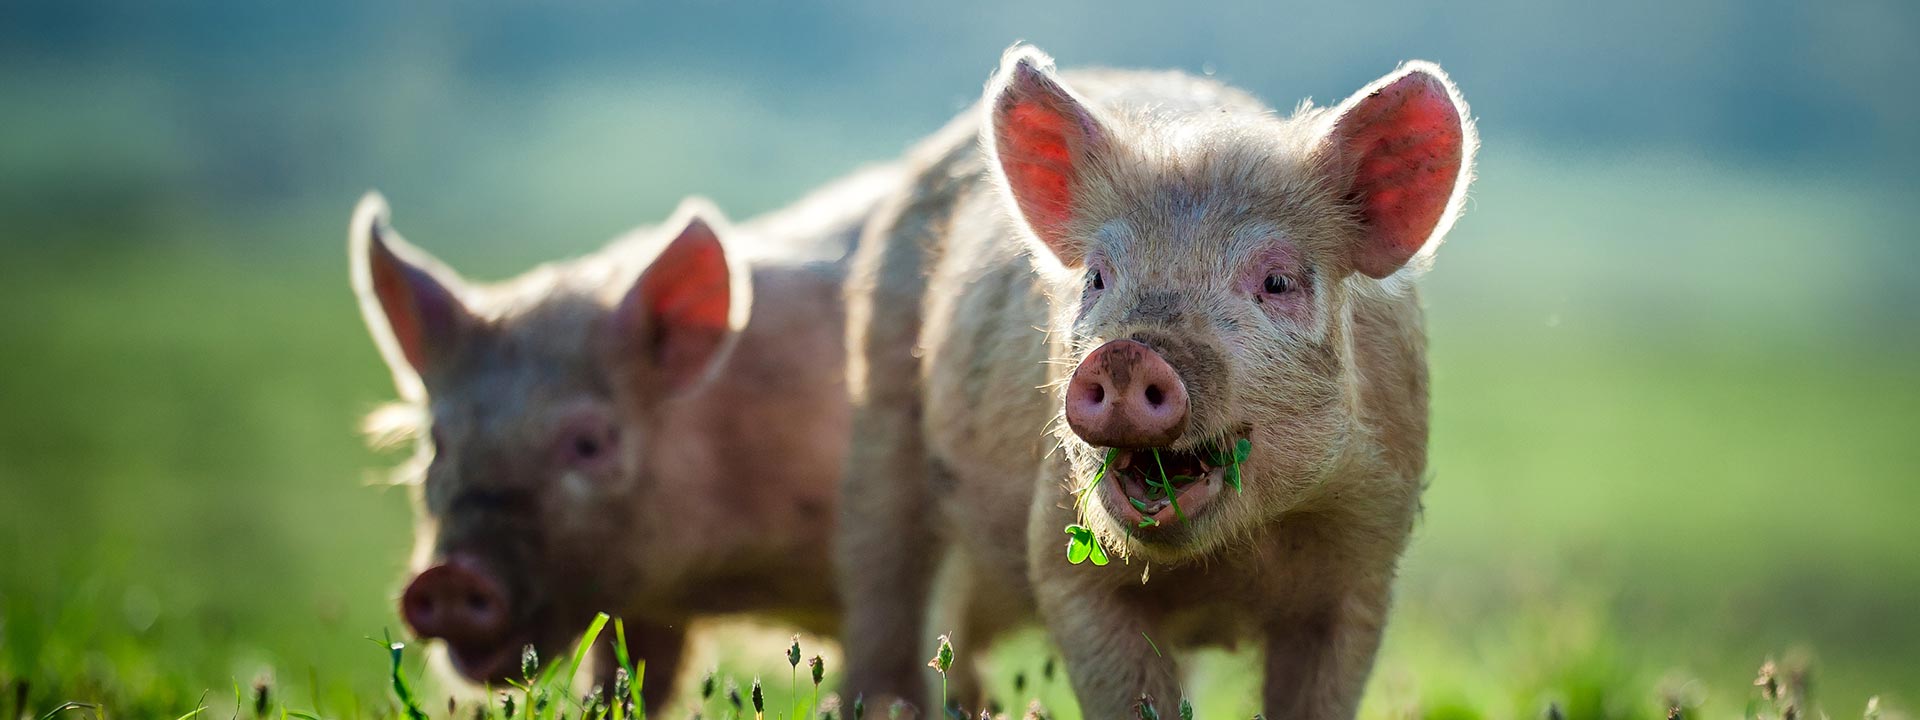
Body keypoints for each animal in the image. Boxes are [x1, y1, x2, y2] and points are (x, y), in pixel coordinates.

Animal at [838, 45, 1475, 719]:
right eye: (1097, 277)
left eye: (1277, 282)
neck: (1225, 565)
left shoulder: (1365, 563)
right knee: (884, 585)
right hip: (880, 410)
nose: (1126, 353)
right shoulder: (1066, 559)